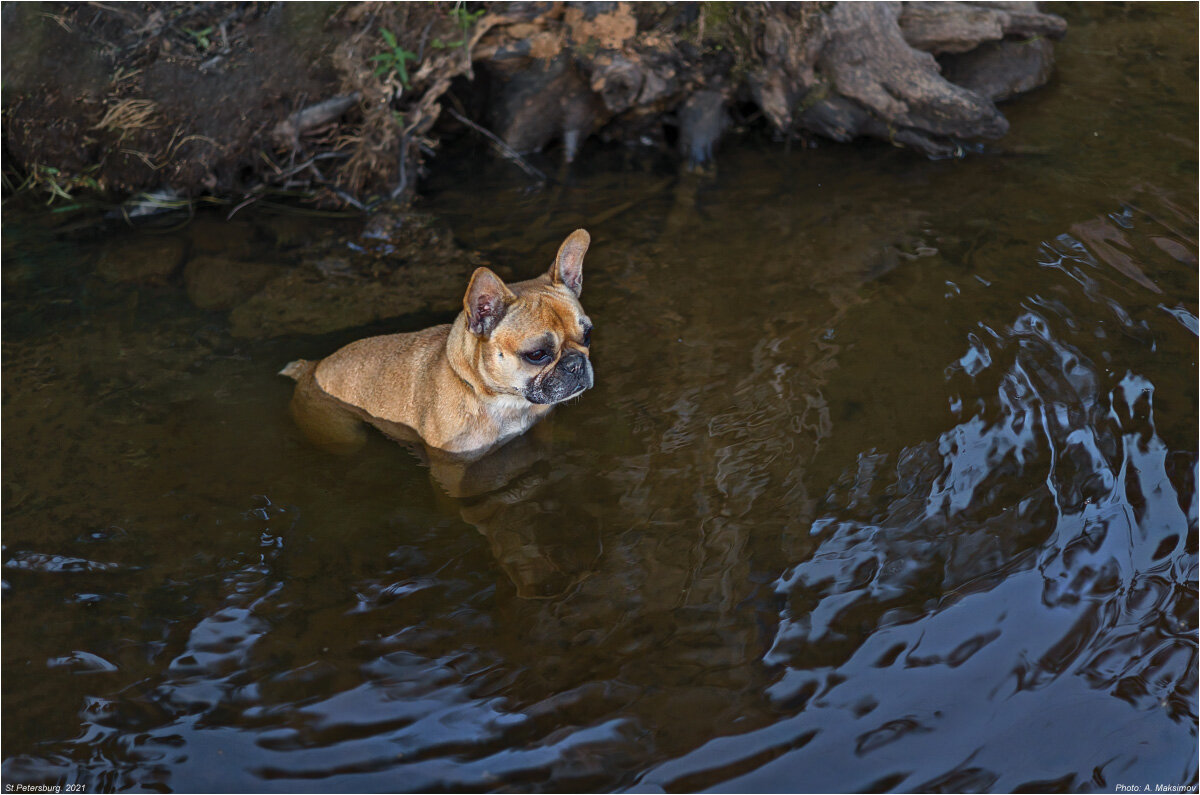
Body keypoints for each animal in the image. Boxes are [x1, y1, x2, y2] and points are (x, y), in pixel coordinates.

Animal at [277, 226, 595, 458]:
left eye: (587, 335)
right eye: (537, 354)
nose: (576, 364)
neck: (504, 402)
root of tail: (312, 367)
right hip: (344, 438)